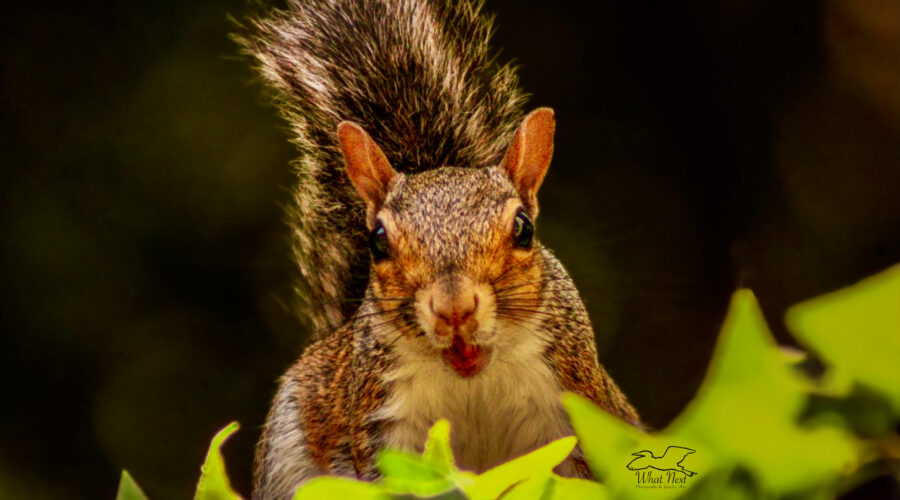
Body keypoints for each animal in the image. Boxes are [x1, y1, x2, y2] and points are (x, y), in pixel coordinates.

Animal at [232, 0, 640, 498]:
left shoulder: (574, 412)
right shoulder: (386, 424)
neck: (472, 380)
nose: (454, 309)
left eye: (523, 229)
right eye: (378, 242)